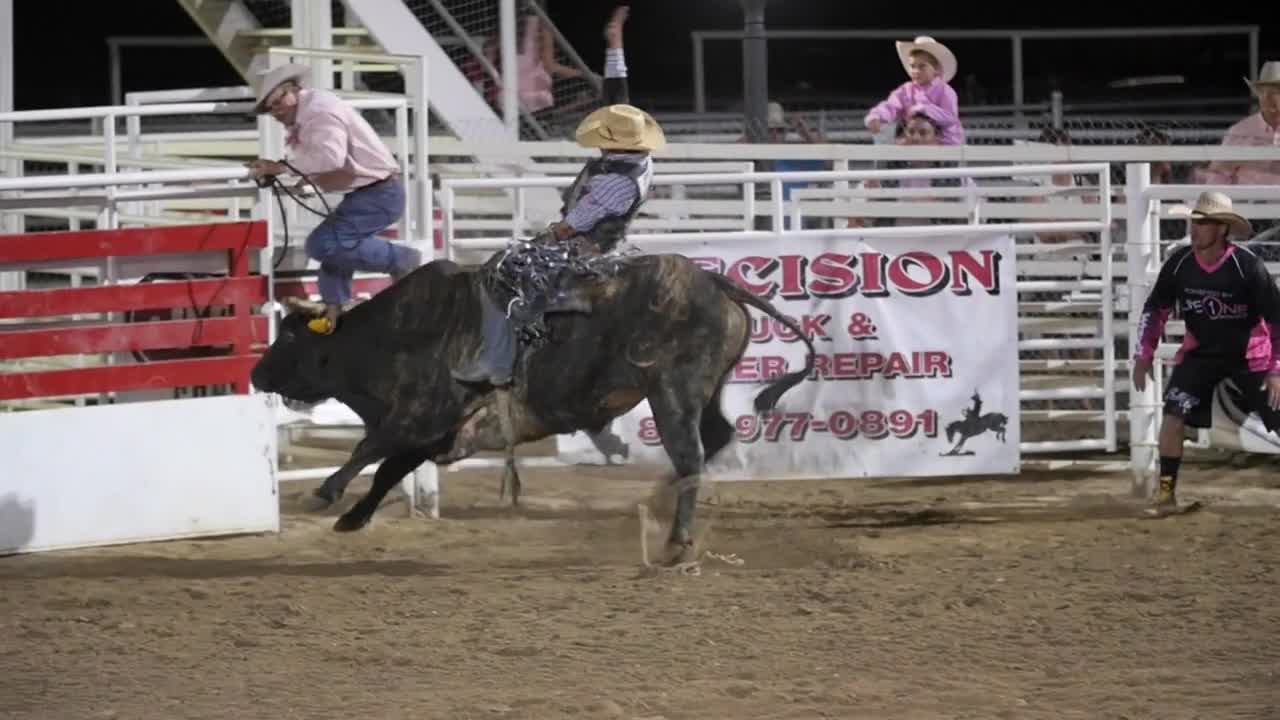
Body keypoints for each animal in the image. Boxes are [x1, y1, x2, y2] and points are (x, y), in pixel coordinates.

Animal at [250, 254, 814, 563]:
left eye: (290, 339)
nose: (255, 375)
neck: (391, 334)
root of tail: (715, 282)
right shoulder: (439, 435)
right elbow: (389, 468)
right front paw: (354, 517)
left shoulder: (423, 414)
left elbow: (372, 447)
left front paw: (326, 493)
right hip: (705, 388)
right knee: (714, 438)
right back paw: (659, 503)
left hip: (671, 390)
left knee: (691, 454)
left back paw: (676, 541)